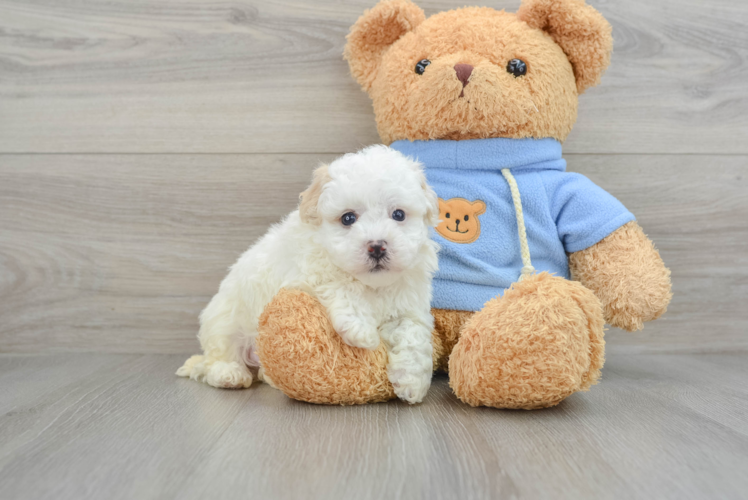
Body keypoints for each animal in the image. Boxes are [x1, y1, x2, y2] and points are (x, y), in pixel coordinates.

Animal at [177, 146, 438, 404]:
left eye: (399, 215)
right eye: (348, 218)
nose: (376, 247)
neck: (372, 285)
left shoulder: (409, 304)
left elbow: (414, 334)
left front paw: (412, 382)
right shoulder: (307, 272)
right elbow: (339, 284)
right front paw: (361, 331)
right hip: (225, 320)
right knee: (219, 355)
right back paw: (229, 374)